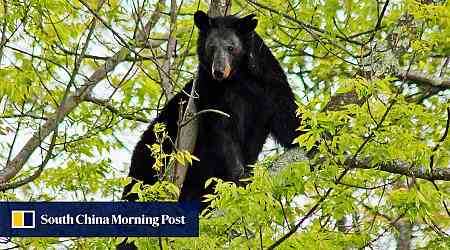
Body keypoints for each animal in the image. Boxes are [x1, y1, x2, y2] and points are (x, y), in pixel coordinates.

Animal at [121, 10, 300, 204]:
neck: (238, 78)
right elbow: (222, 131)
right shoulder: (210, 91)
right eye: (211, 47)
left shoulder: (268, 82)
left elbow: (286, 114)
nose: (219, 71)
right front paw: (239, 176)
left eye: (231, 47)